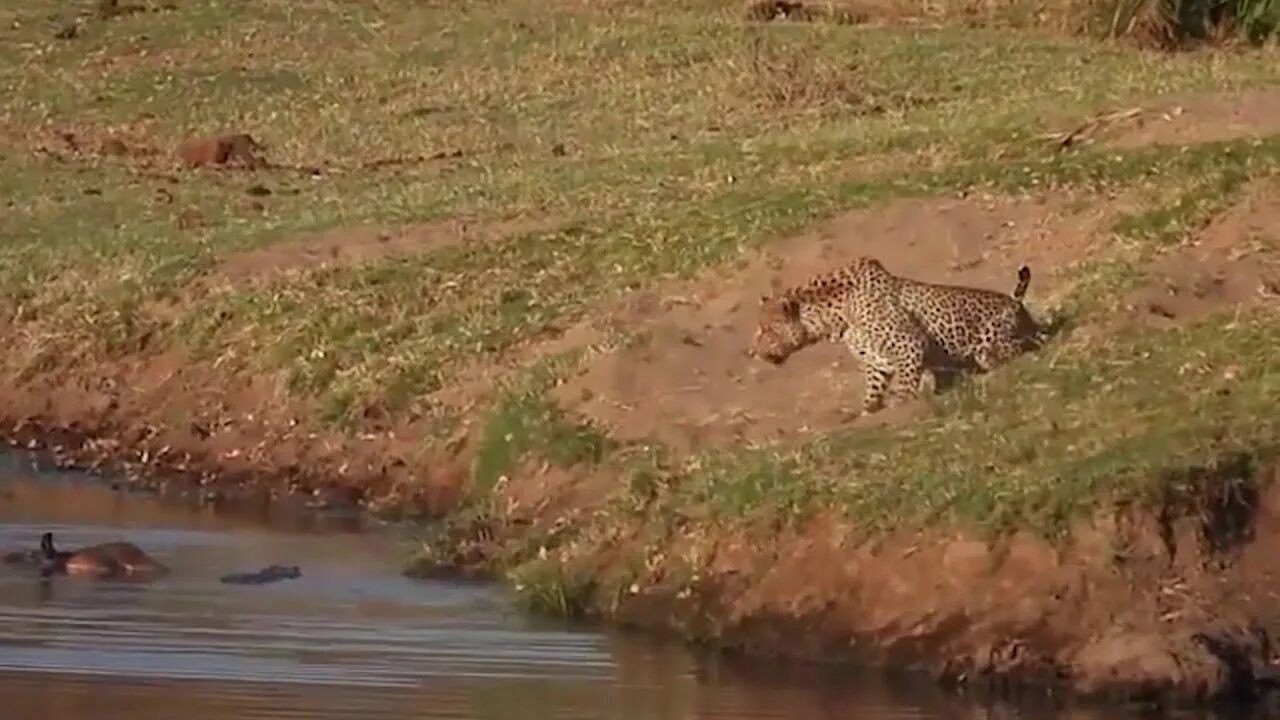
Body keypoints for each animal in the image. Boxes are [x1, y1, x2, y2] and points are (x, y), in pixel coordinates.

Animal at [747, 256, 1039, 415]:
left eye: (766, 331)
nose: (752, 352)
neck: (835, 317)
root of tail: (1018, 304)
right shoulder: (873, 361)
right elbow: (873, 389)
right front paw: (867, 410)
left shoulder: (908, 345)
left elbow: (906, 383)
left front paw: (901, 403)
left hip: (990, 347)